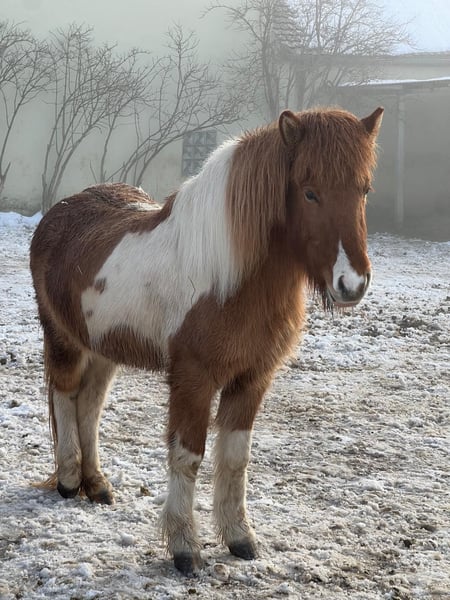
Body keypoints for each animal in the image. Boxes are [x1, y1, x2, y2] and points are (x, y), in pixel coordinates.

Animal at [30, 106, 383, 576]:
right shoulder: (193, 379)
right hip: (64, 340)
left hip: (103, 349)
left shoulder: (252, 379)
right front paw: (184, 547)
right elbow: (188, 456)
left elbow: (235, 459)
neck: (230, 277)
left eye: (364, 190)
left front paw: (239, 538)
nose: (352, 284)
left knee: (90, 404)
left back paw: (97, 484)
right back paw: (70, 480)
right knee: (65, 396)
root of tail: (58, 213)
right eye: (310, 193)